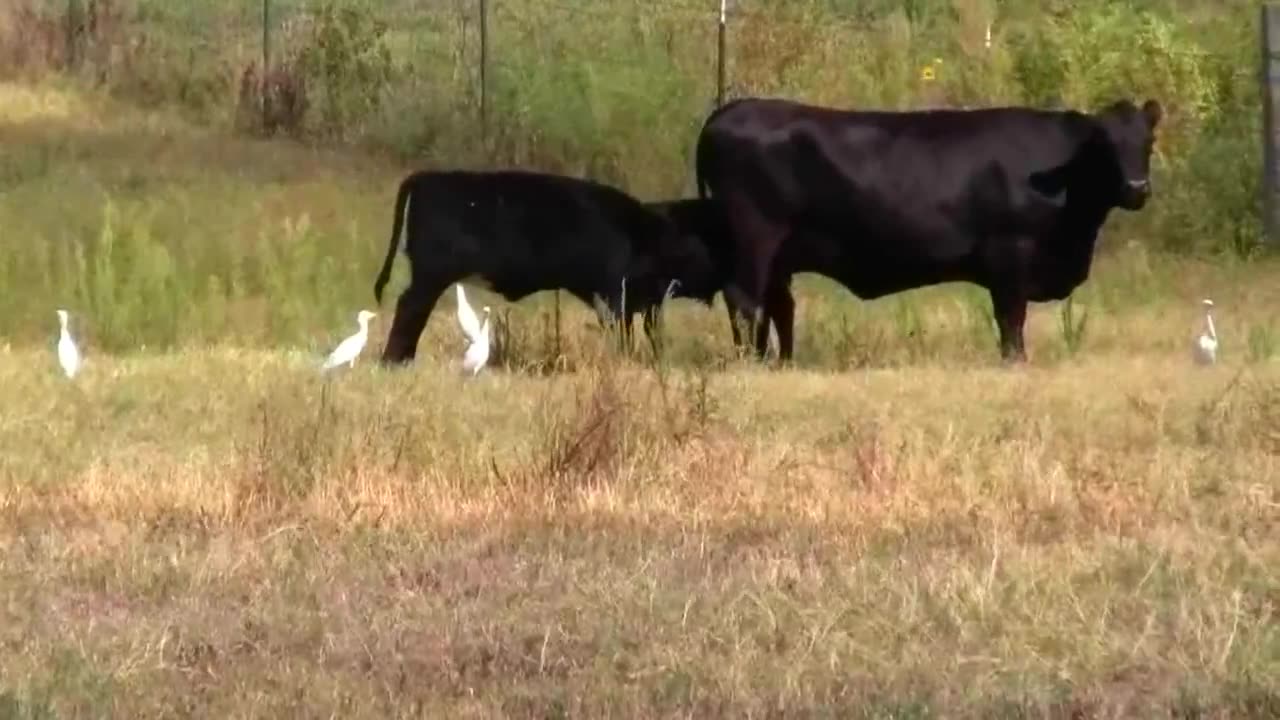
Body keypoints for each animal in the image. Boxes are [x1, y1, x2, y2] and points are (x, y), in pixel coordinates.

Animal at [373, 166, 721, 361]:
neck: (647, 232)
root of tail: (427, 177)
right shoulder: (614, 295)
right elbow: (624, 334)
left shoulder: (646, 301)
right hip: (430, 276)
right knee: (410, 309)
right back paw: (395, 359)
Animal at [696, 95, 1167, 361]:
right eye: (1104, 144)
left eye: (1148, 141)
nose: (1137, 188)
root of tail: (731, 109)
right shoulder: (1010, 253)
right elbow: (1010, 318)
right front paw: (1015, 361)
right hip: (755, 235)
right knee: (744, 297)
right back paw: (750, 361)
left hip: (779, 252)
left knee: (776, 303)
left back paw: (777, 361)